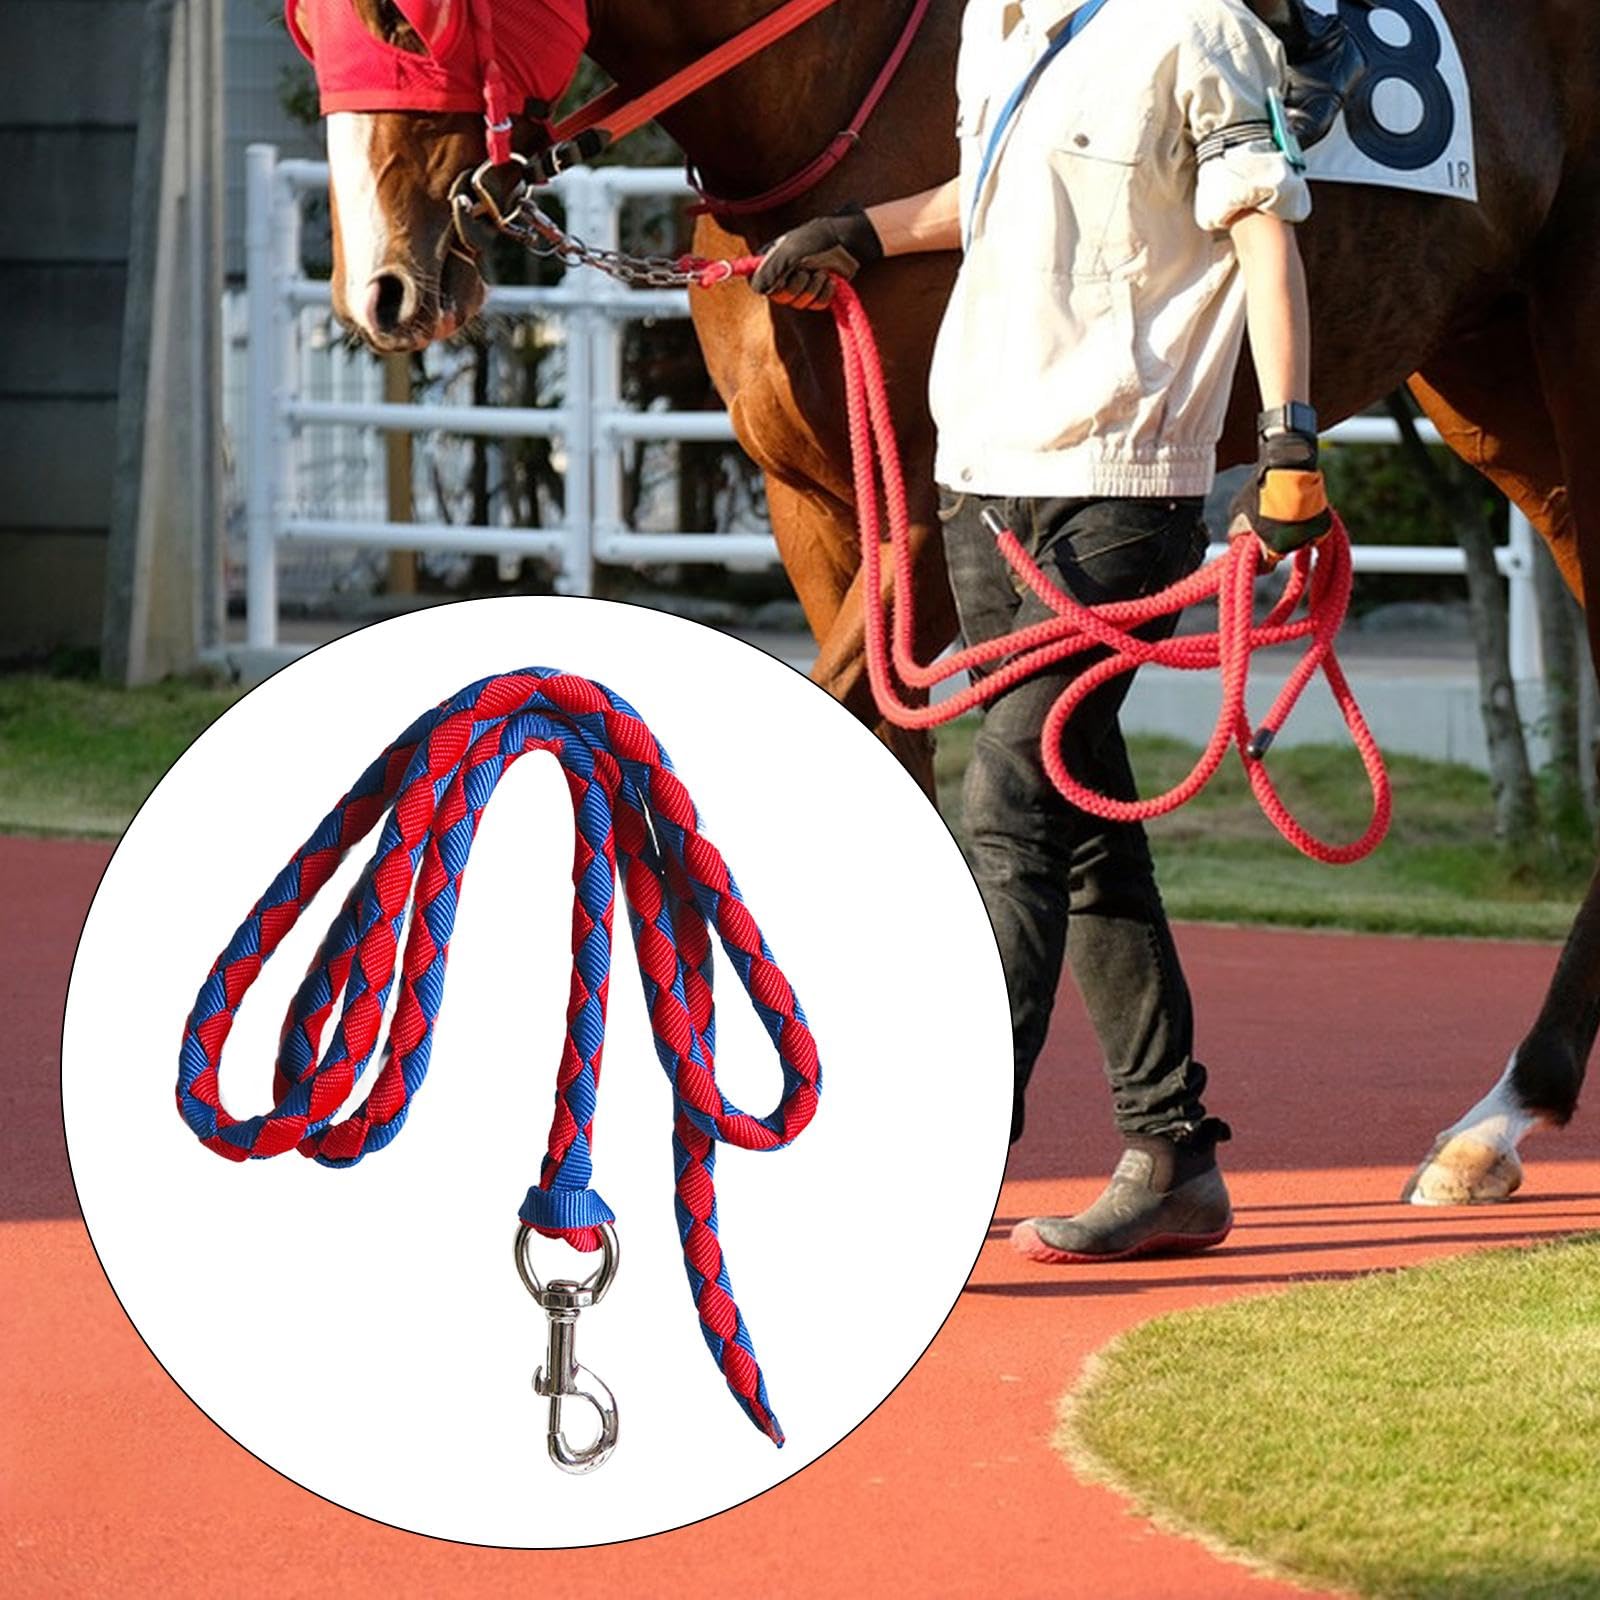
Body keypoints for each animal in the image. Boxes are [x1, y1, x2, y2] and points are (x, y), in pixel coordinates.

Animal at [291, 0, 1600, 1208]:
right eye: (308, 32)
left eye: (403, 24)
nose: (383, 288)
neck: (825, 90)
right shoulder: (816, 506)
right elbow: (892, 748)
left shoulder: (924, 503)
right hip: (1497, 381)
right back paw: (1499, 1117)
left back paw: (1501, 1111)